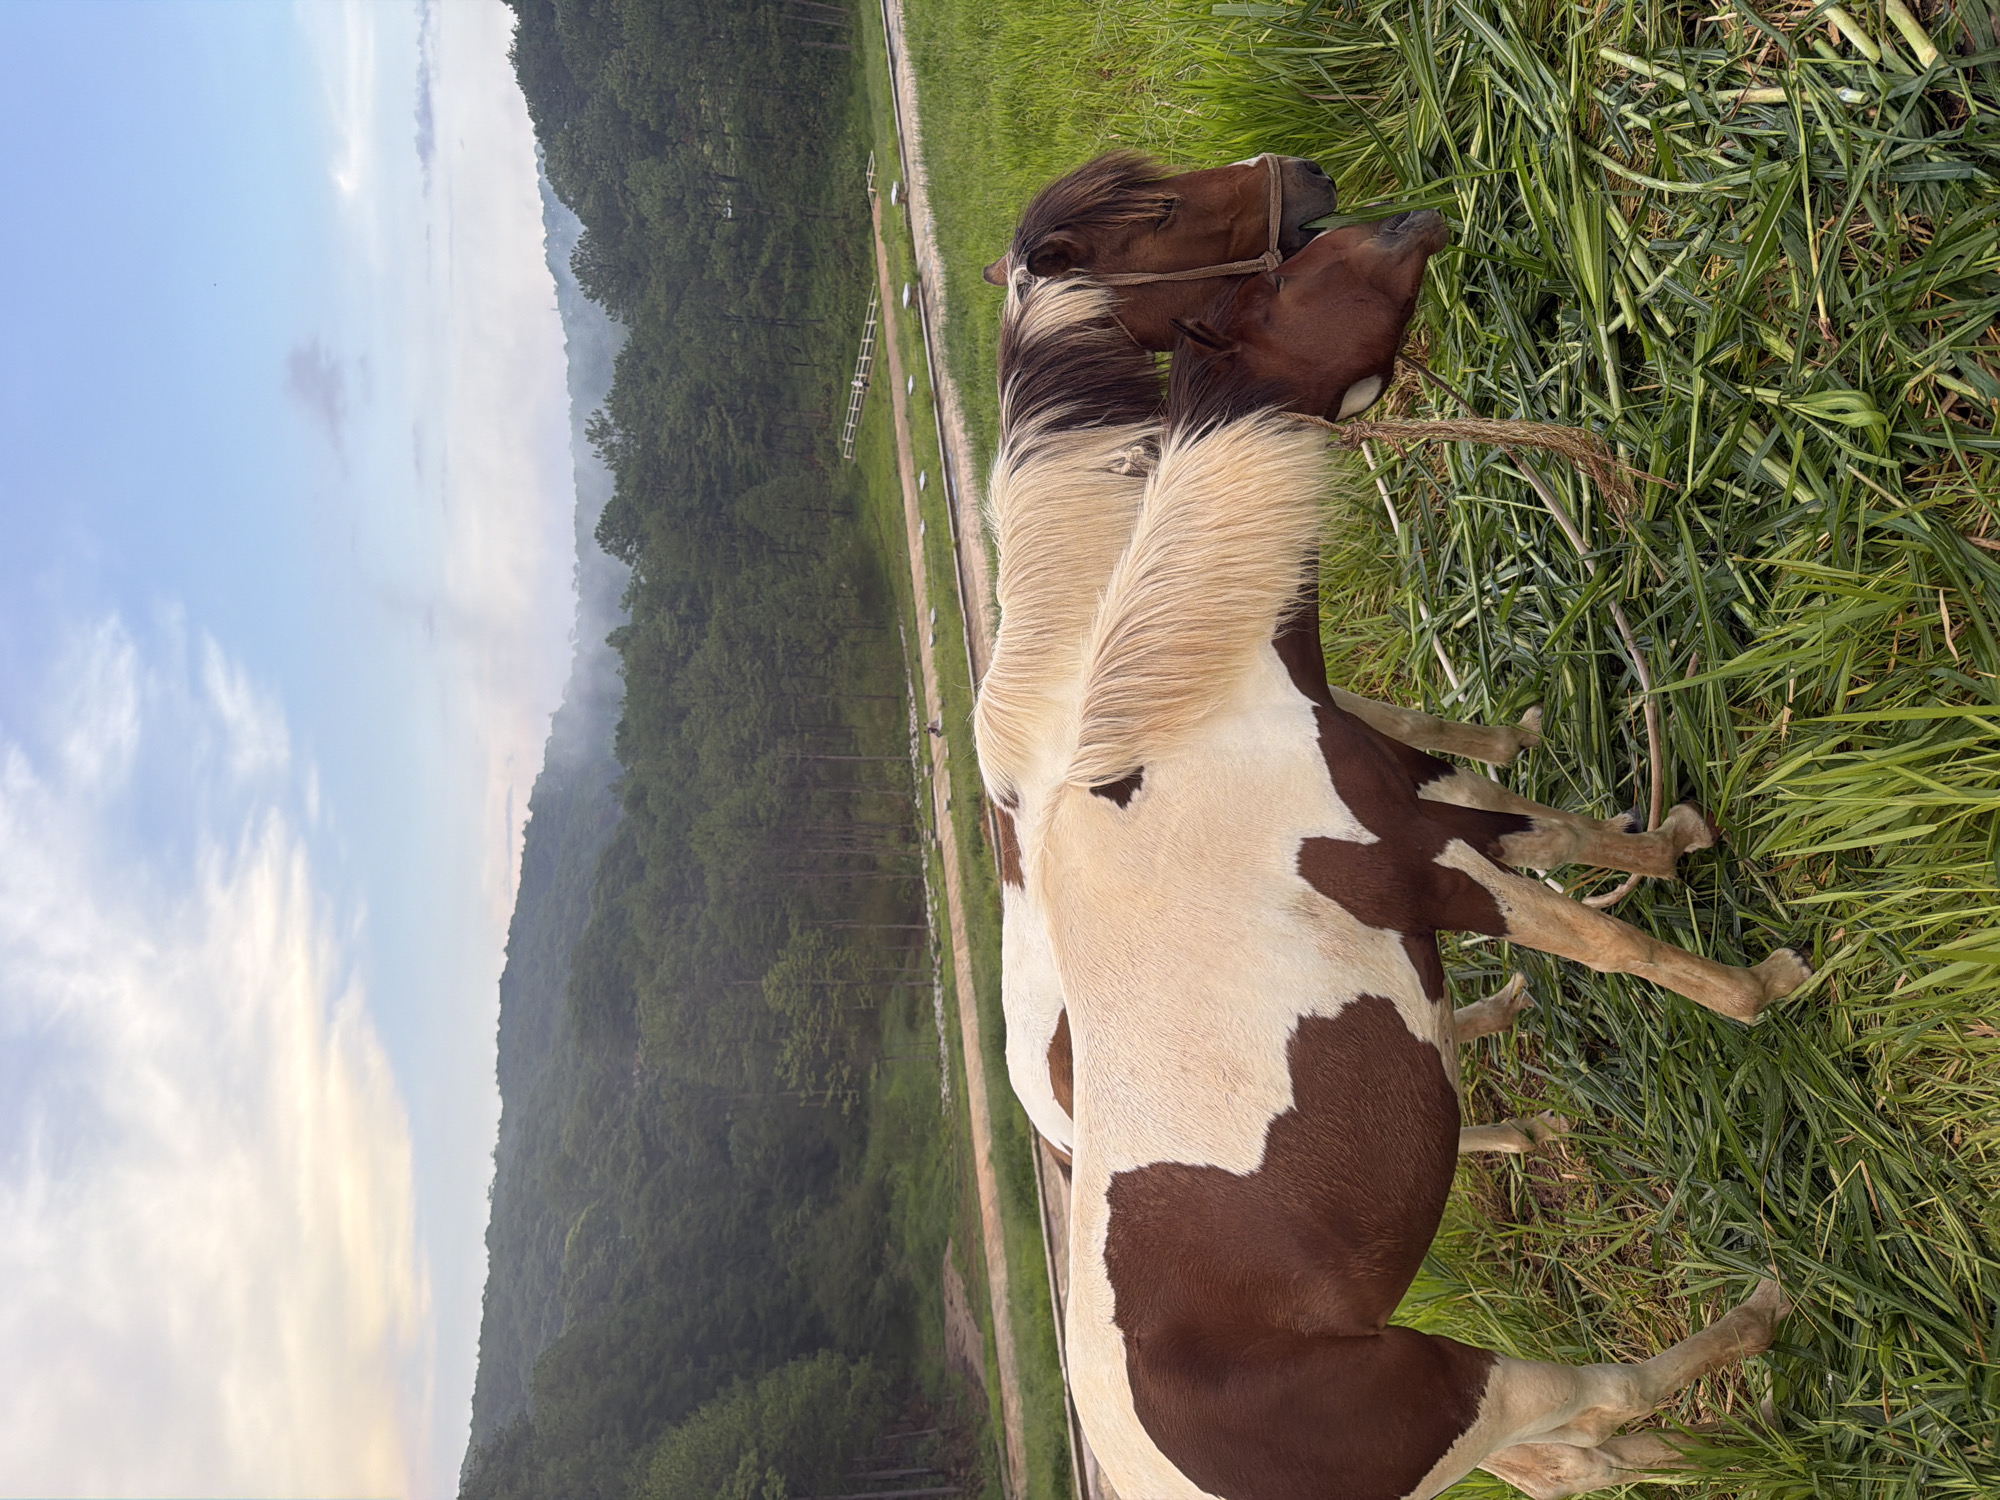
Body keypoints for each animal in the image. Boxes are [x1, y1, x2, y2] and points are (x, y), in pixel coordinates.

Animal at [1030, 211, 1804, 1500]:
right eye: (1285, 280)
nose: (1410, 219)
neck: (1195, 727)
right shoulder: (1429, 868)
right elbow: (1603, 940)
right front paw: (1758, 991)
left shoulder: (1424, 796)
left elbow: (1557, 830)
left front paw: (1673, 842)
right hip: (1457, 1389)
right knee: (1595, 1395)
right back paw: (1758, 1316)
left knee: (1578, 1453)